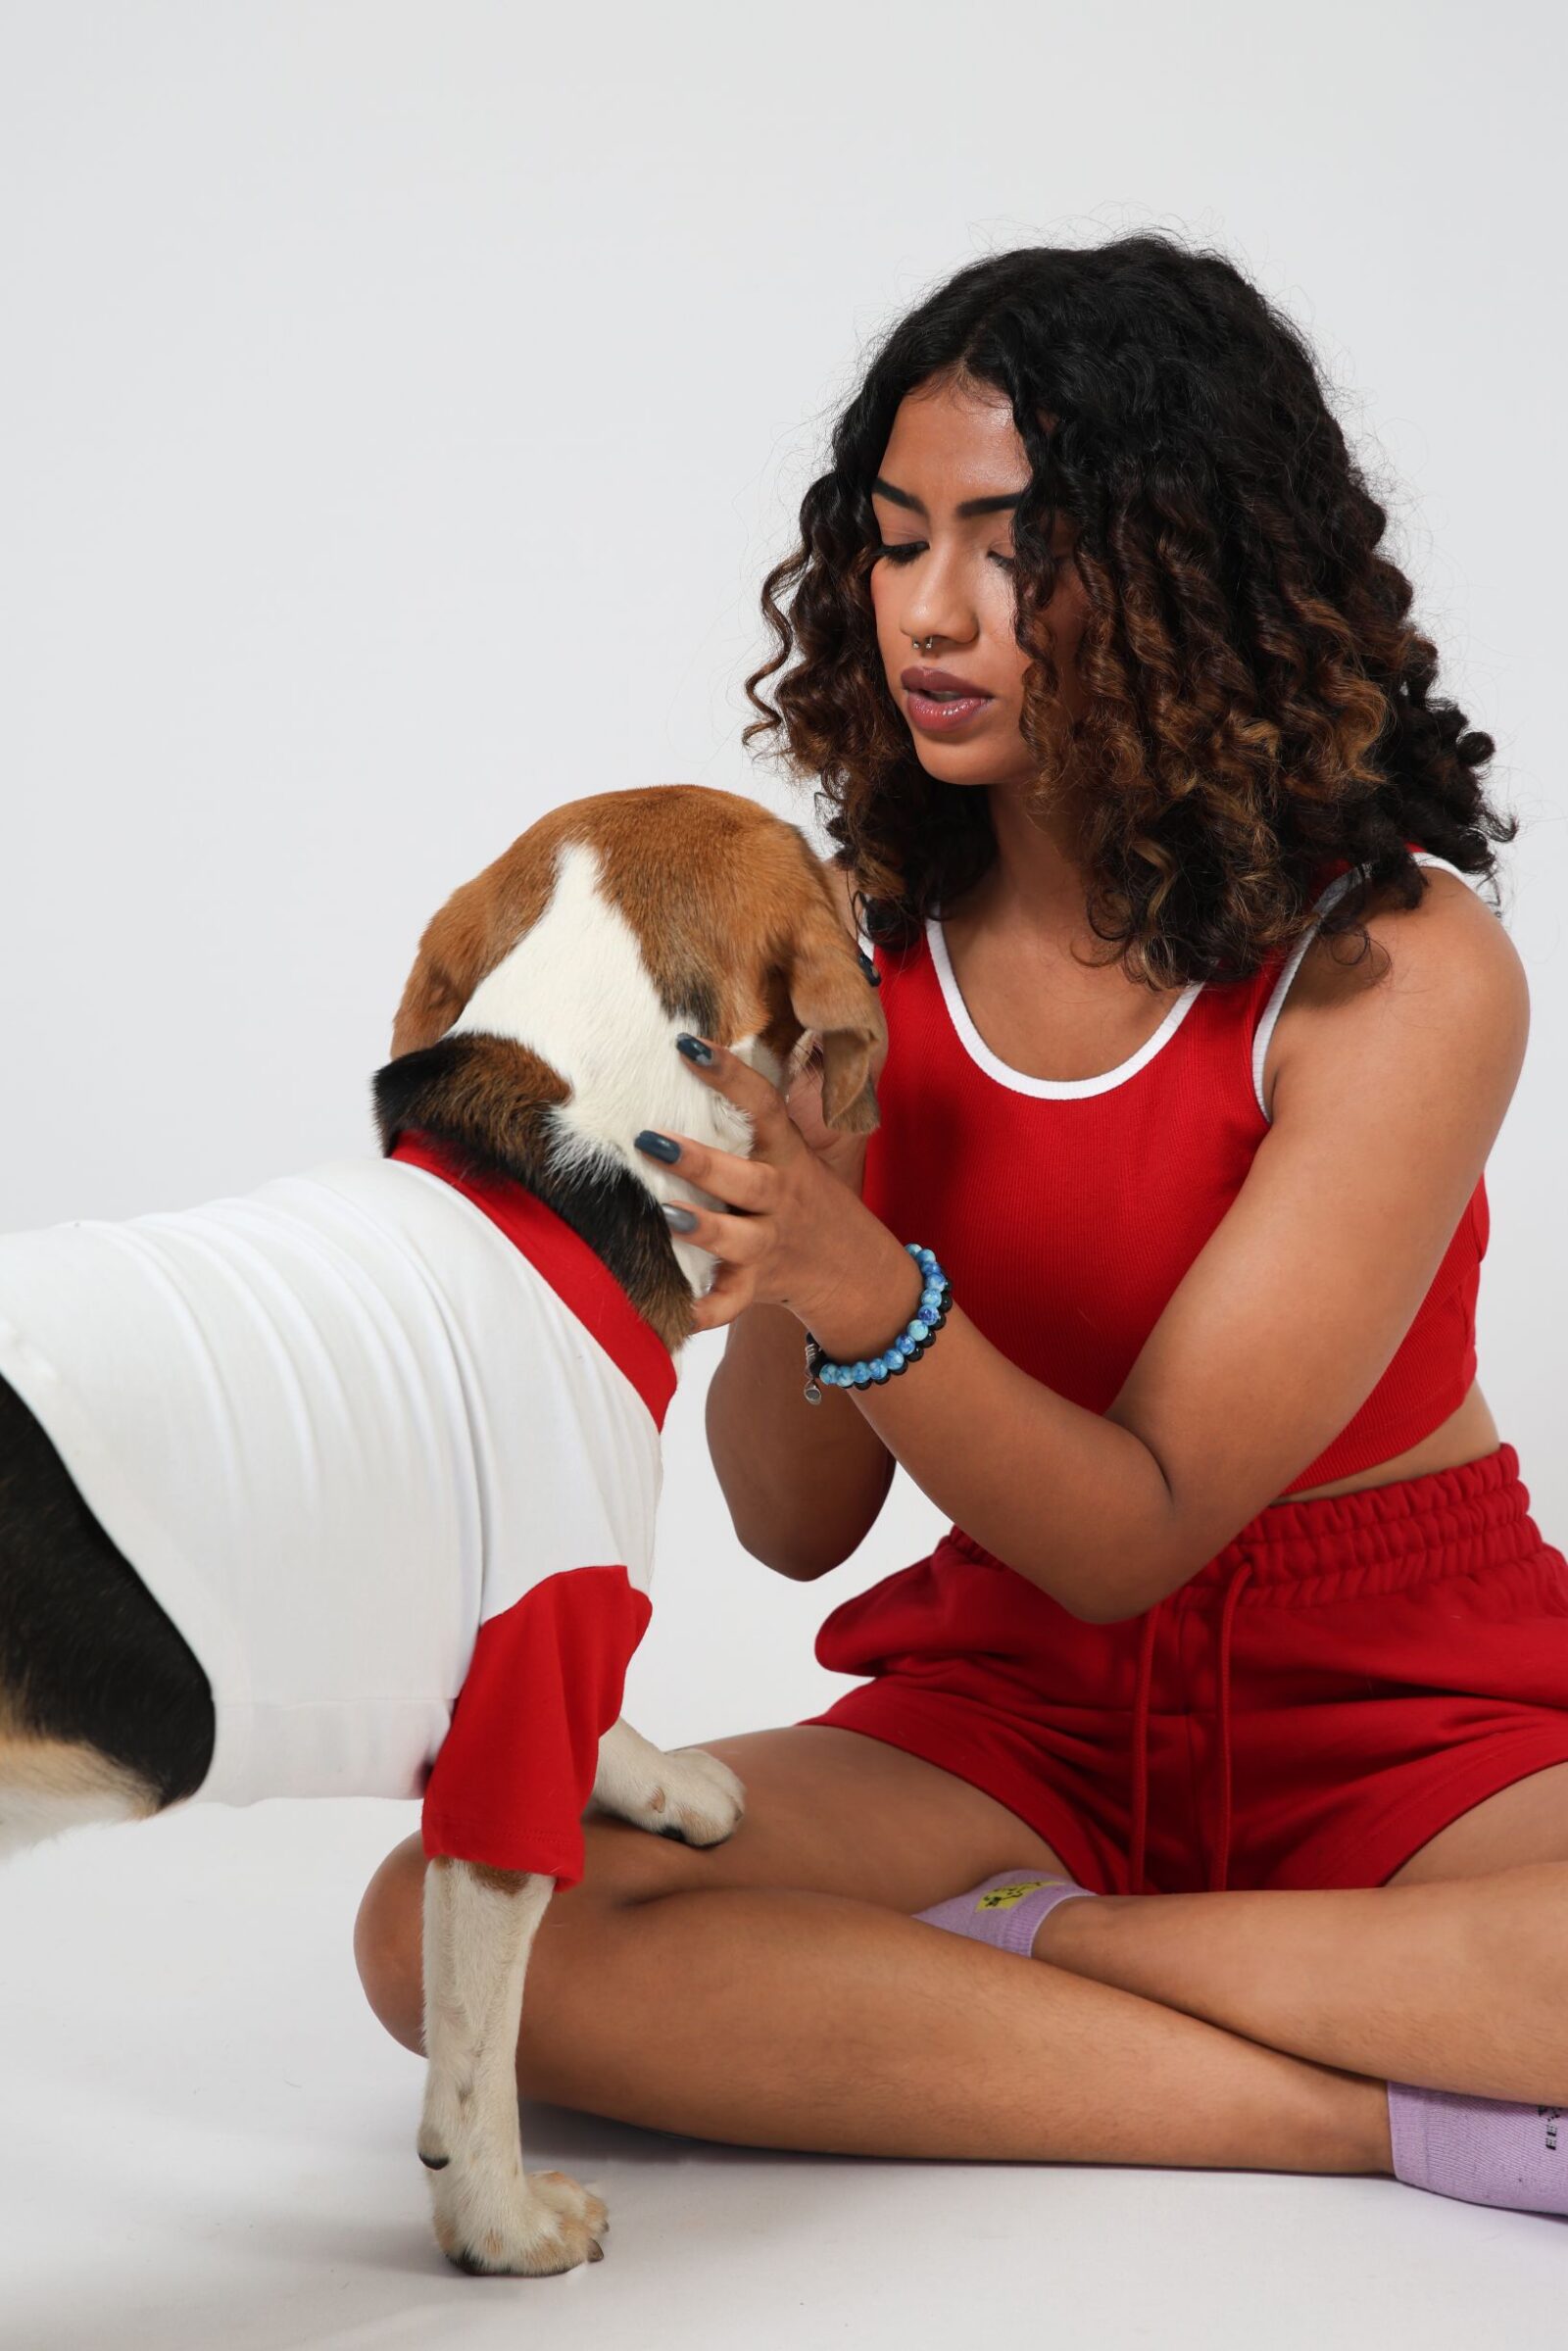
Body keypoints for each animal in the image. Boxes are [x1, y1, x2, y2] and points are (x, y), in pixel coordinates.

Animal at [0, 785, 888, 2276]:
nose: (881, 881)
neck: (575, 1141)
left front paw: (663, 1780)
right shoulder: (535, 1655)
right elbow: (480, 2040)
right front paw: (498, 2220)